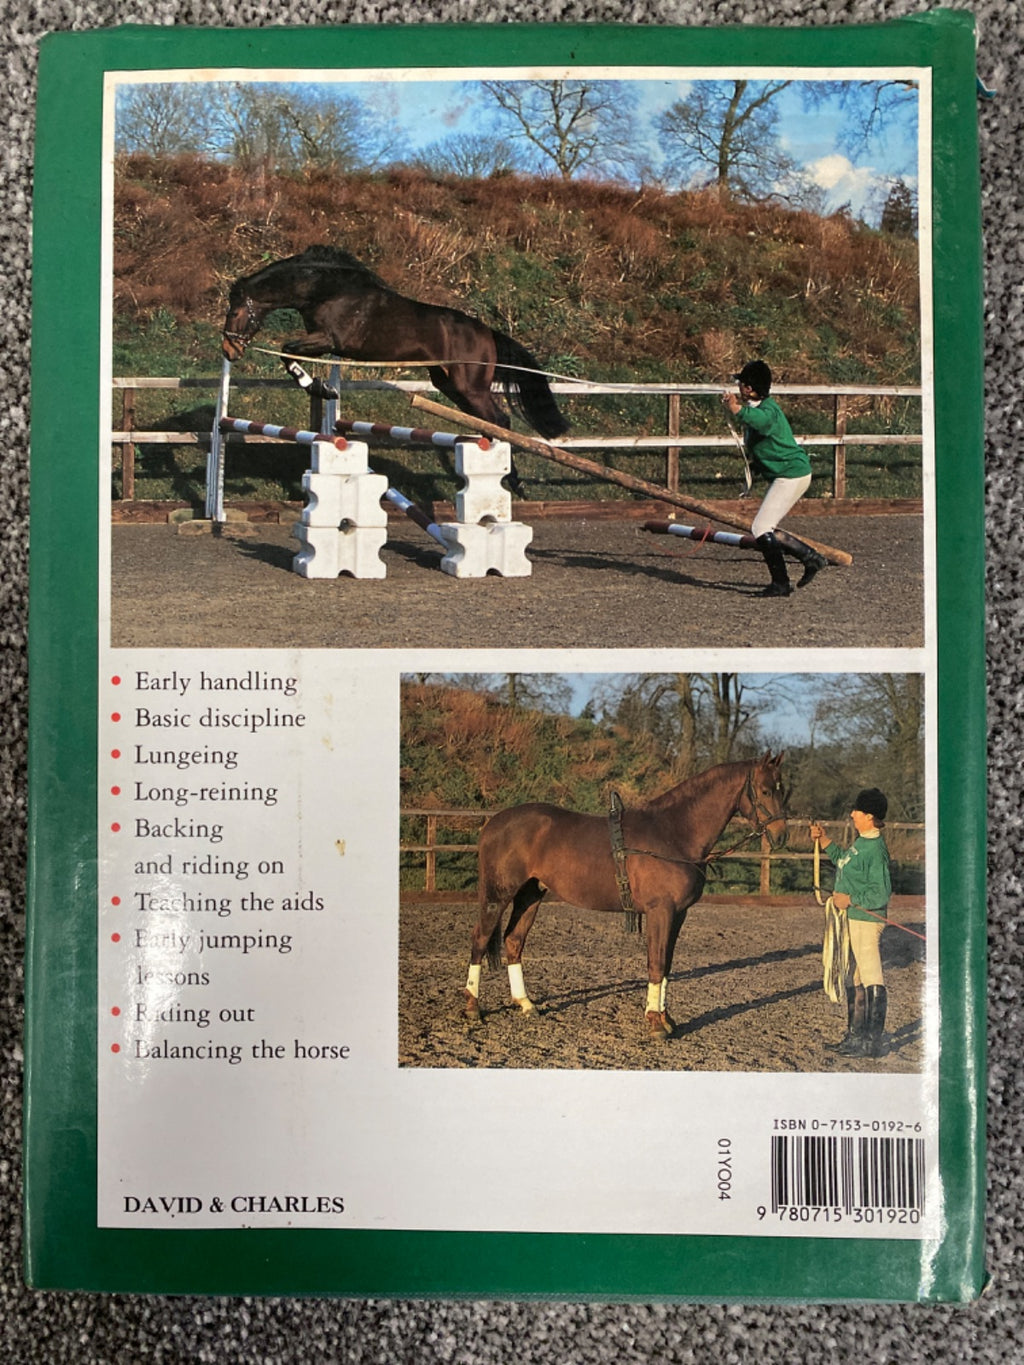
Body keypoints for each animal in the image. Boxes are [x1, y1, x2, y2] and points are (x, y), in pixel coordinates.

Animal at [221, 246, 570, 442]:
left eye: (235, 312)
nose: (229, 350)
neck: (326, 289)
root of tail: (487, 332)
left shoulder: (329, 340)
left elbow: (287, 350)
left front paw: (319, 387)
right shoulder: (325, 343)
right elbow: (288, 352)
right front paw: (323, 387)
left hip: (470, 385)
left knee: (500, 420)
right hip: (447, 384)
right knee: (489, 421)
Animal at [464, 753, 788, 1040]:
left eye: (783, 789)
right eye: (765, 790)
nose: (781, 835)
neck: (674, 832)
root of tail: (493, 823)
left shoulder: (678, 914)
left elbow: (667, 964)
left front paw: (666, 1019)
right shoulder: (661, 910)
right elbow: (656, 963)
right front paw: (655, 1023)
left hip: (530, 894)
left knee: (513, 940)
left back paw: (525, 1003)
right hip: (497, 895)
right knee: (480, 938)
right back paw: (472, 1007)